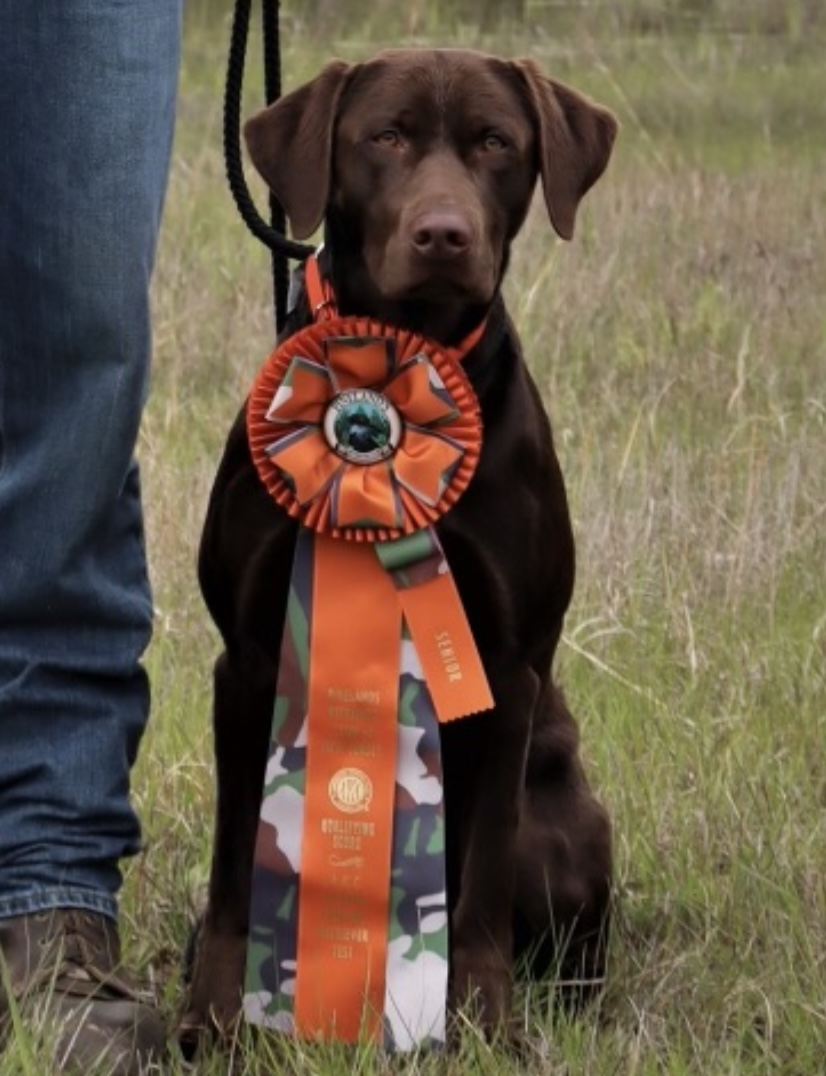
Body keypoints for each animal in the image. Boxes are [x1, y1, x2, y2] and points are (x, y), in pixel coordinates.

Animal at [180, 46, 619, 1045]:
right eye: (384, 137)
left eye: (497, 142)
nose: (444, 235)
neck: (404, 359)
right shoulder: (248, 657)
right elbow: (234, 871)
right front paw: (213, 1019)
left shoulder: (508, 668)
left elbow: (481, 882)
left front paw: (482, 1027)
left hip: (568, 824)